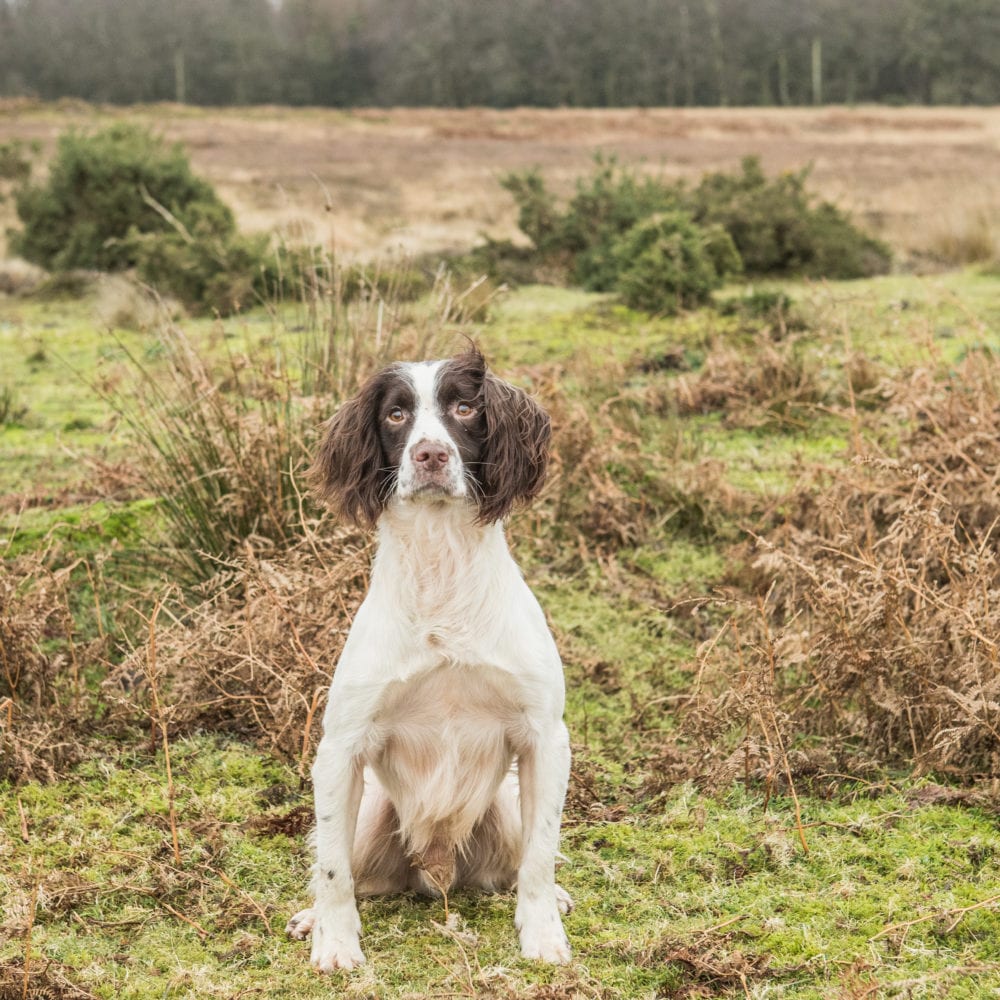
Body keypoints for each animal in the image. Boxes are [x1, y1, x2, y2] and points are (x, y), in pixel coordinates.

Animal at [286, 346, 576, 968]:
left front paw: (542, 934)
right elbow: (332, 871)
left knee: (519, 865)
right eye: (396, 415)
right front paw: (336, 943)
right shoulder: (340, 747)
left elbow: (541, 856)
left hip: (506, 803)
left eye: (465, 408)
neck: (441, 572)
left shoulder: (546, 738)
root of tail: (438, 867)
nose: (431, 454)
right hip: (371, 812)